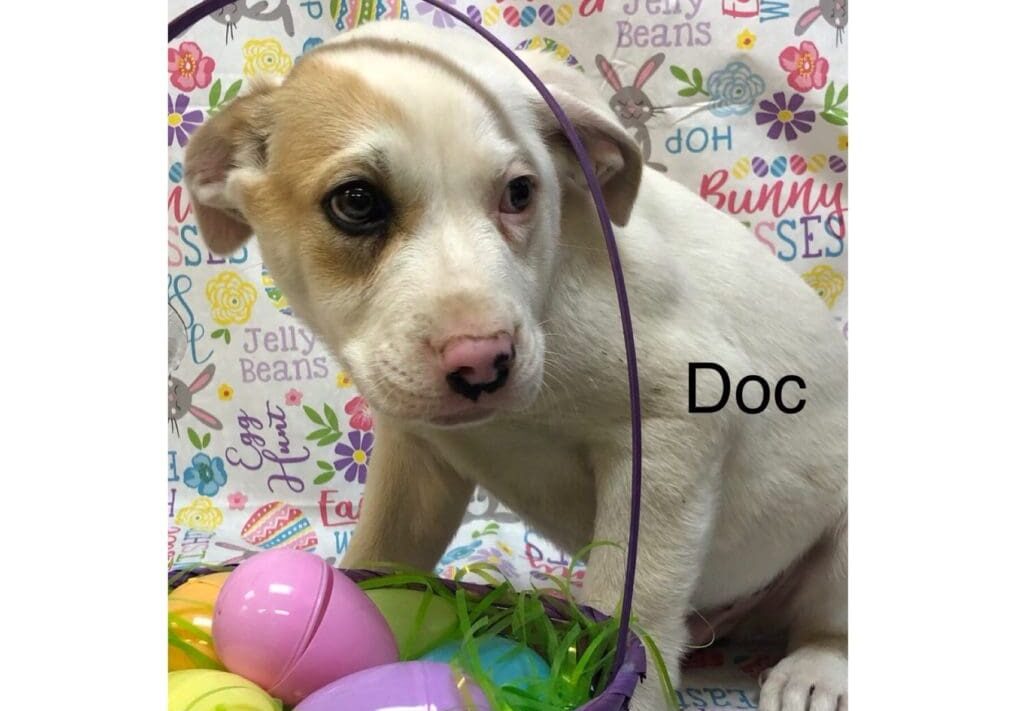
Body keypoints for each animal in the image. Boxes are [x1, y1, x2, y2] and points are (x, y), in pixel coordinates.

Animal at [184, 22, 849, 711]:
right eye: (357, 202)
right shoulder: (416, 460)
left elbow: (636, 597)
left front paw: (623, 680)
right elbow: (381, 554)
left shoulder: (675, 432)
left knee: (828, 624)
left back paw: (813, 672)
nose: (483, 361)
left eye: (520, 193)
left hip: (841, 548)